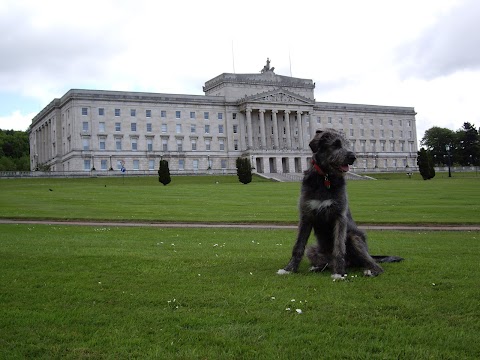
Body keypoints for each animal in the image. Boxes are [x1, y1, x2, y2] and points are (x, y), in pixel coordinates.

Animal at [278, 128, 402, 280]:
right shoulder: (306, 216)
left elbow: (338, 247)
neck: (325, 178)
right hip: (312, 249)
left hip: (355, 238)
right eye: (336, 144)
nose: (353, 157)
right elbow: (298, 246)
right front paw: (289, 269)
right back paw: (317, 267)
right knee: (324, 262)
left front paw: (339, 273)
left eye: (348, 144)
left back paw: (369, 270)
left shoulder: (339, 216)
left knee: (374, 264)